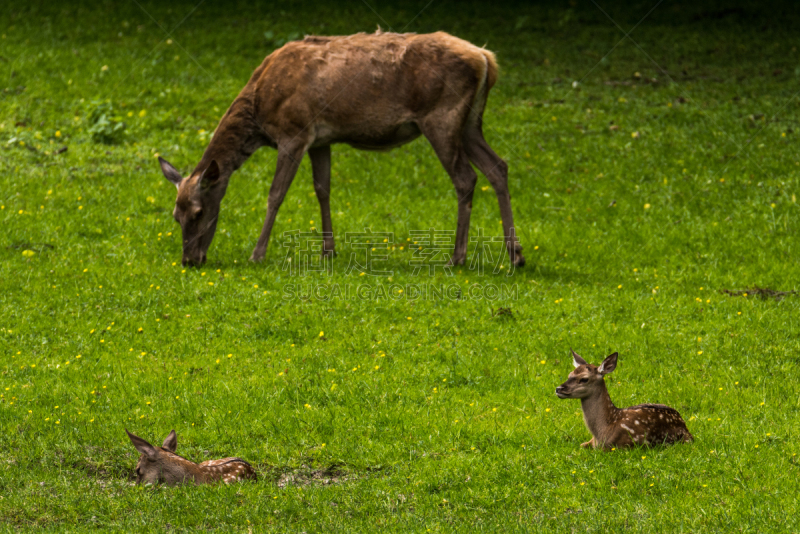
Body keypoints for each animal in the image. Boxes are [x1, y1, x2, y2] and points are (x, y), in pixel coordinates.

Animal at [159, 30, 524, 268]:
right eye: (175, 216)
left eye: (198, 212)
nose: (189, 260)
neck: (259, 110)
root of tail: (485, 58)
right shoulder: (321, 141)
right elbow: (323, 190)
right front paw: (328, 251)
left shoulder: (294, 132)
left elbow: (276, 194)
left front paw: (257, 254)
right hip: (469, 123)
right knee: (498, 166)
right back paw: (515, 254)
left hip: (442, 118)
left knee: (466, 178)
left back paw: (457, 257)